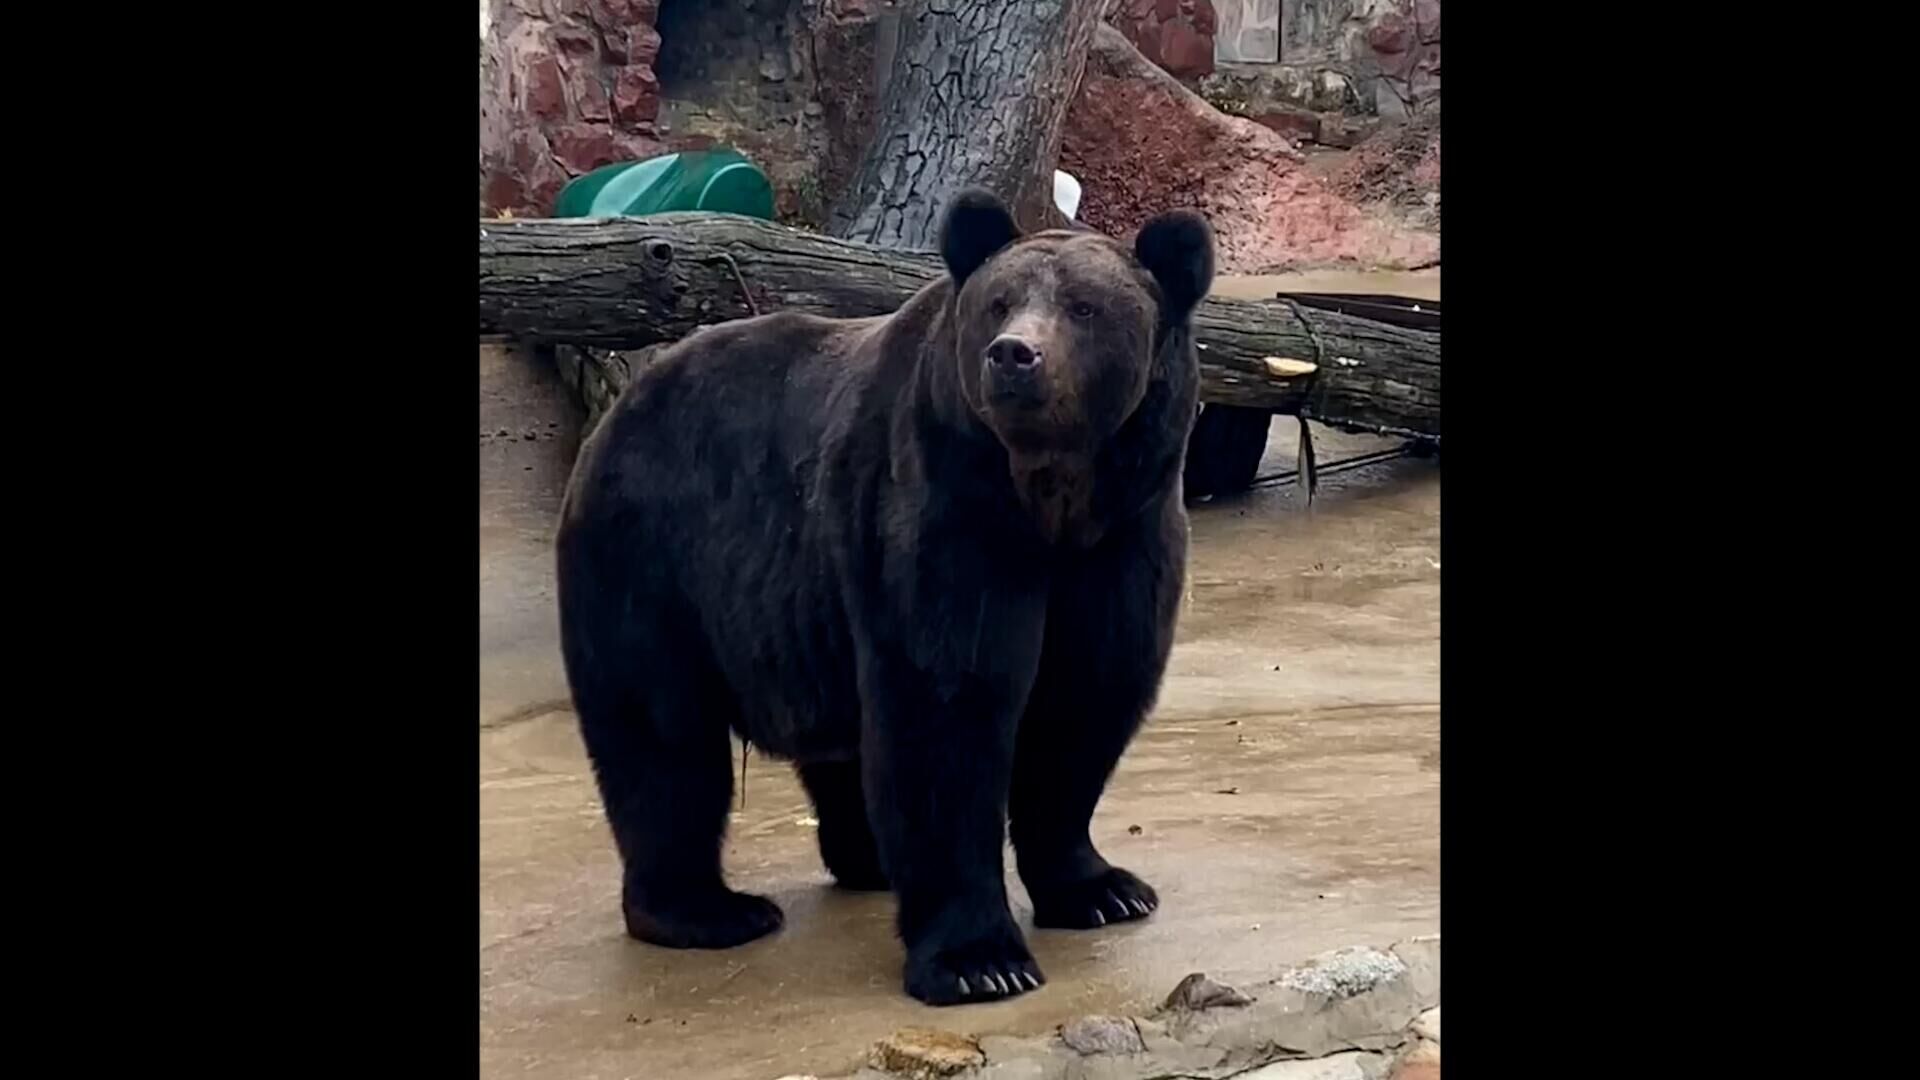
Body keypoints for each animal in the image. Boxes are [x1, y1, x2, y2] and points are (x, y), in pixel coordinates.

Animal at [556, 184, 1213, 999]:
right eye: (998, 303)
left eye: (1086, 307)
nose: (1014, 355)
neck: (1050, 501)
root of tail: (616, 413)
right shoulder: (945, 516)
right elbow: (946, 708)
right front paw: (979, 960)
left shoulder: (1122, 539)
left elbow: (1084, 698)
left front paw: (1102, 888)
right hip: (650, 561)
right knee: (662, 740)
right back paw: (706, 909)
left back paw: (864, 860)